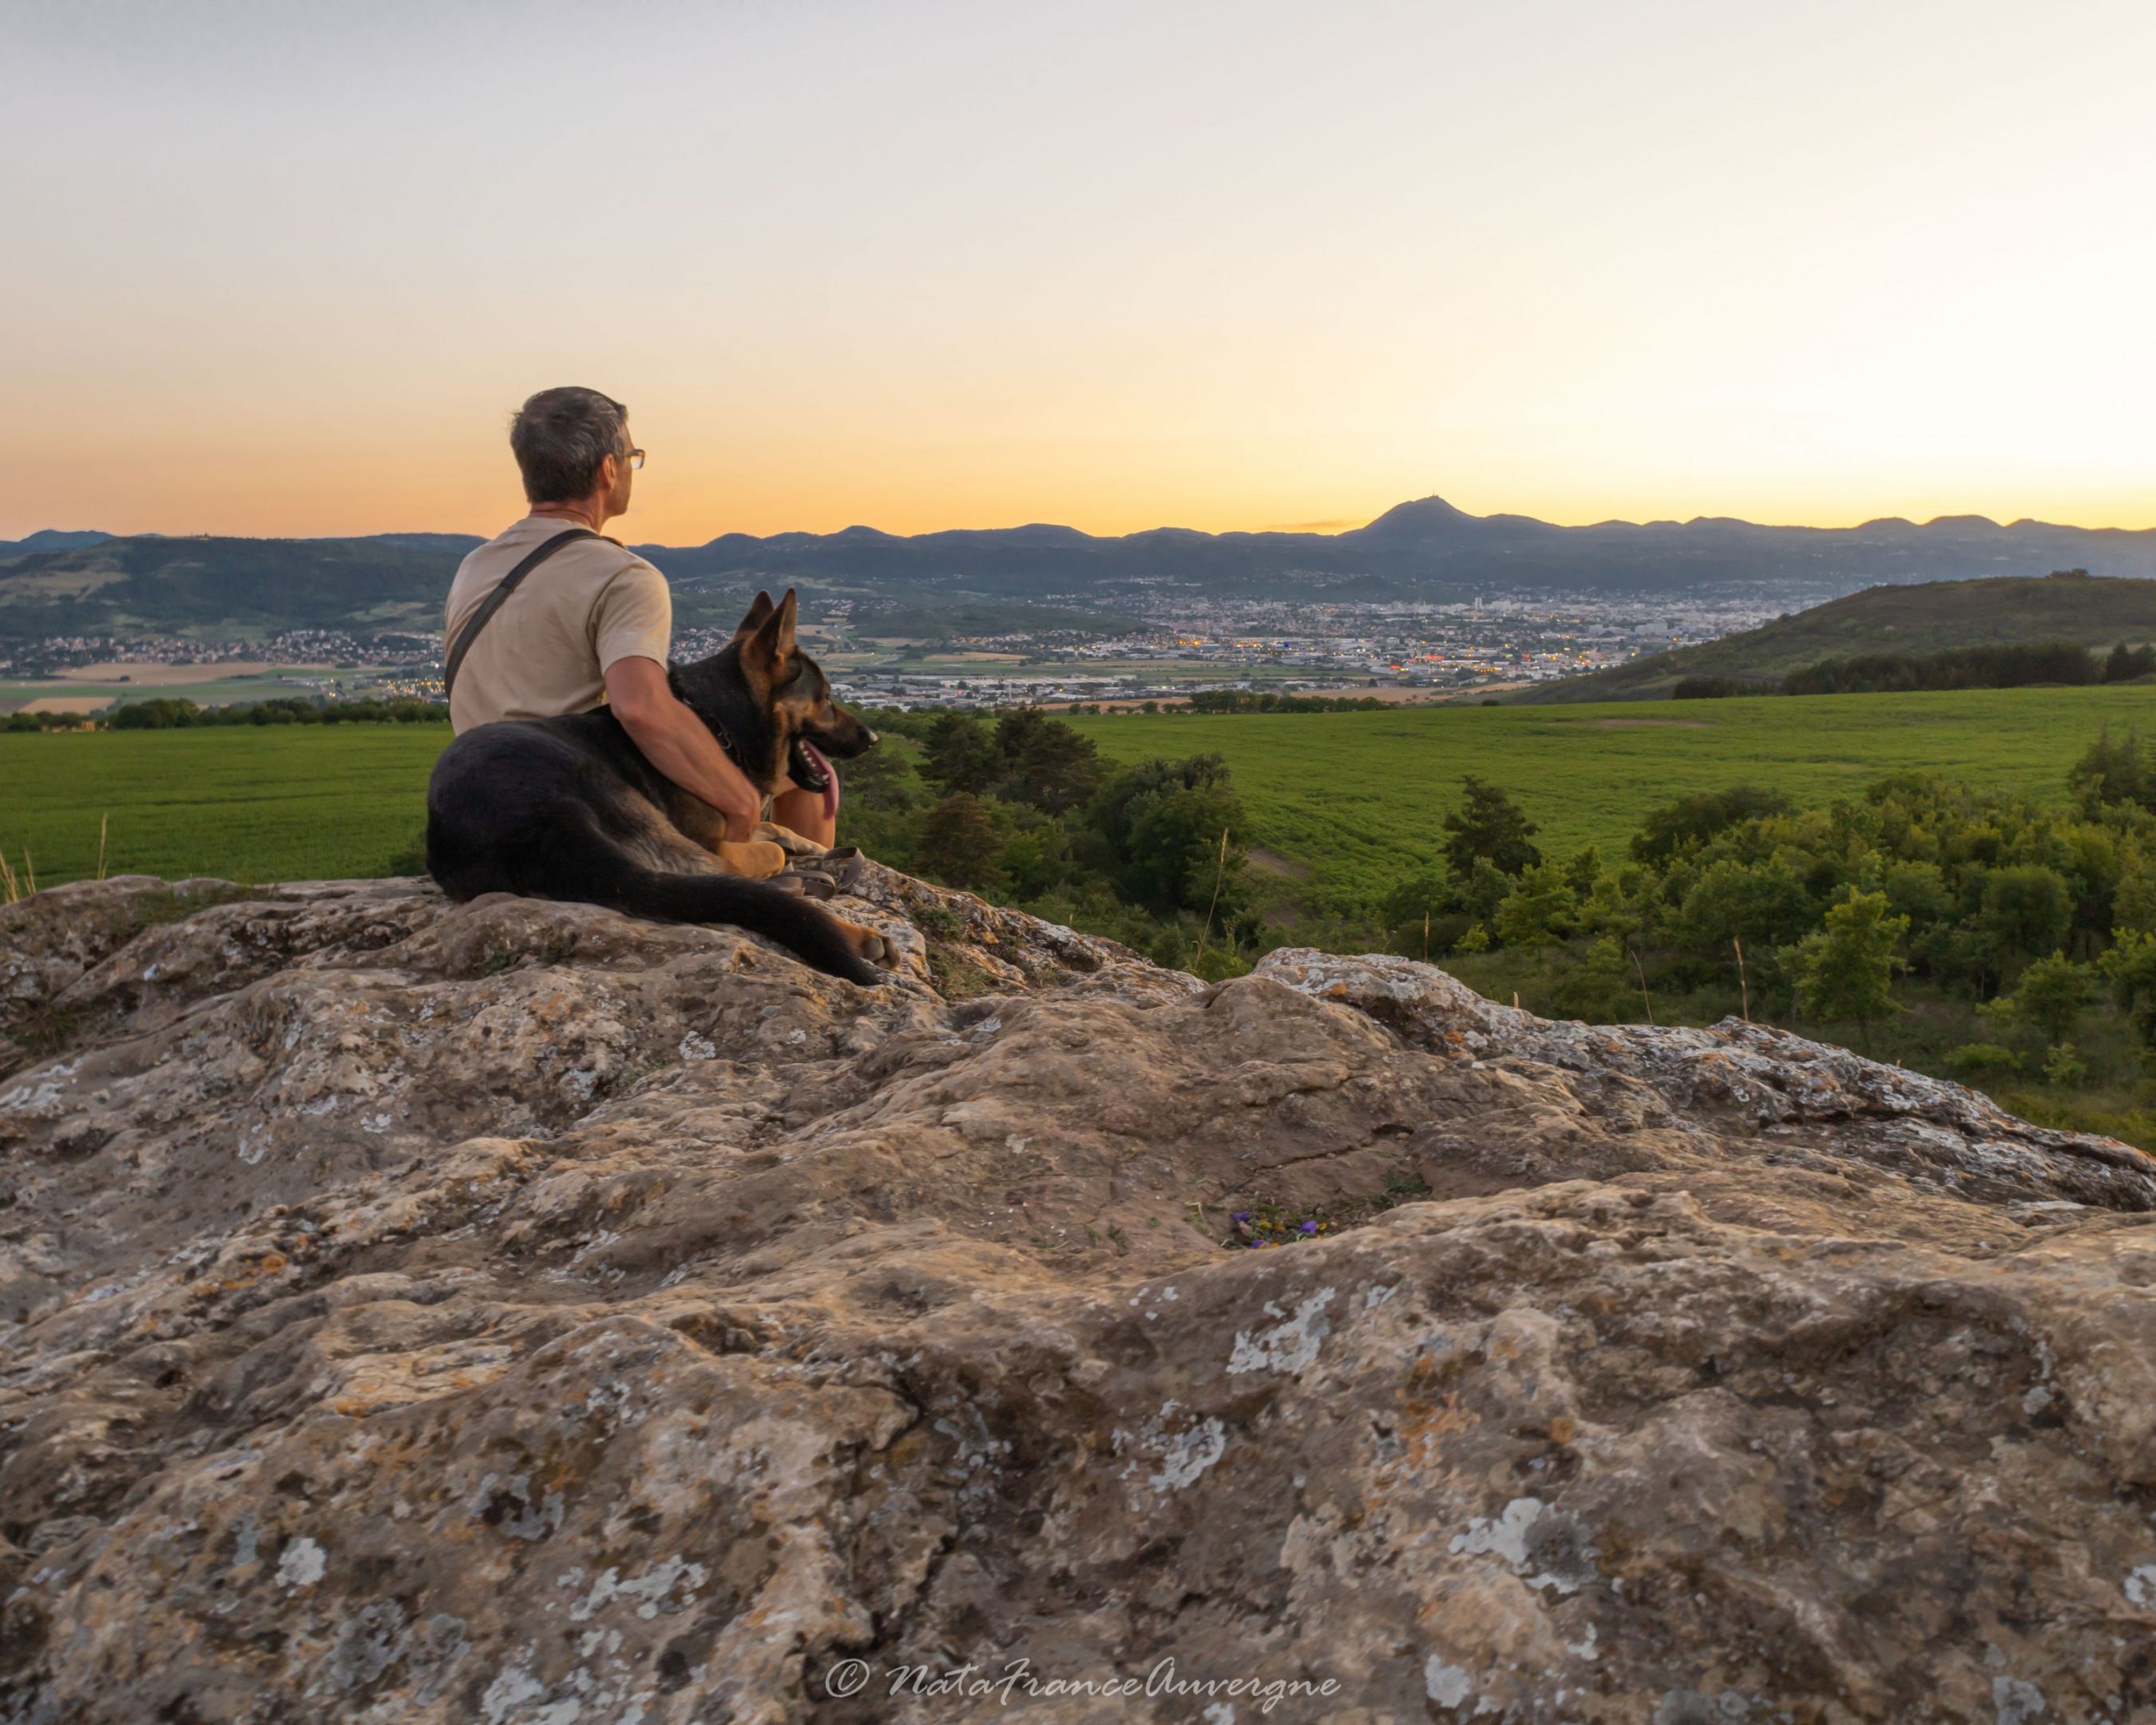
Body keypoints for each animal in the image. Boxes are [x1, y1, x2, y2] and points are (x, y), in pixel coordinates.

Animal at [424, 590, 897, 983]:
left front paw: (808, 844)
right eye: (827, 697)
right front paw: (790, 853)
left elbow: (772, 830)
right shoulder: (714, 838)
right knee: (745, 884)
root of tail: (545, 824)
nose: (874, 739)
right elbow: (767, 850)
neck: (716, 723)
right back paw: (853, 934)